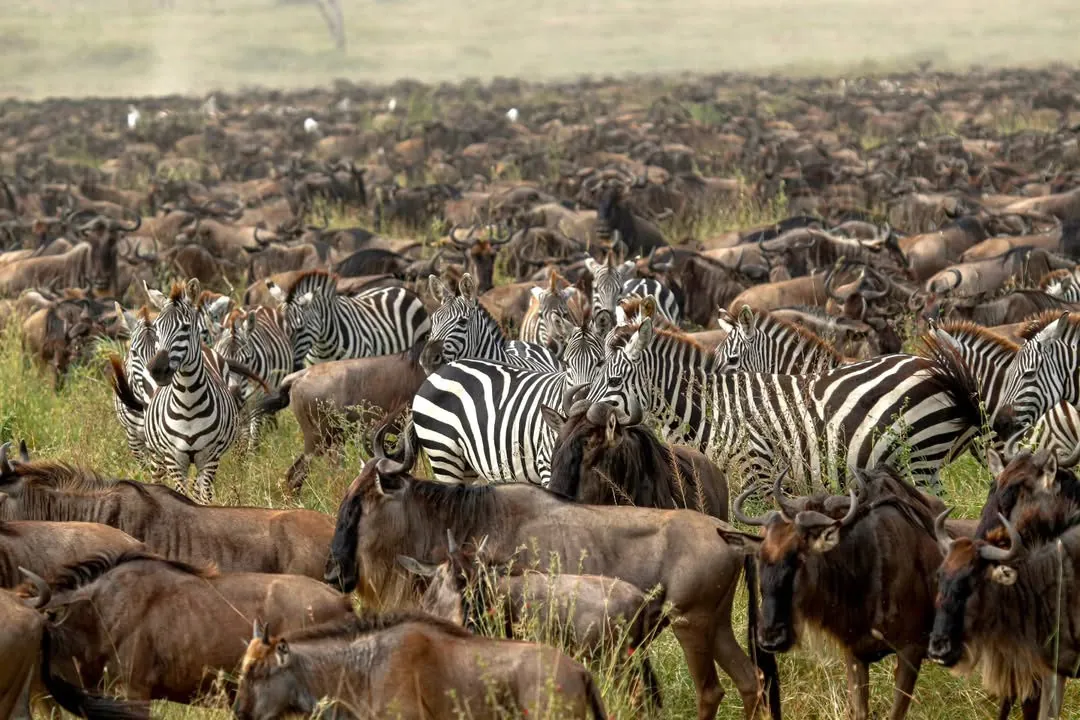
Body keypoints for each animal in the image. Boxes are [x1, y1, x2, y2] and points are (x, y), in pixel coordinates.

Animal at [139, 279, 241, 503]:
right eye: (156, 328)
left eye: (185, 327)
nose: (157, 369)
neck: (188, 402)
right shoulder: (174, 460)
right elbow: (179, 494)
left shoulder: (210, 458)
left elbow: (205, 498)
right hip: (156, 455)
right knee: (156, 478)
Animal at [585, 318, 983, 491]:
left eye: (614, 381)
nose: (586, 417)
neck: (716, 412)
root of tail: (934, 366)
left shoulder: (756, 473)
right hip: (923, 461)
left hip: (920, 455)